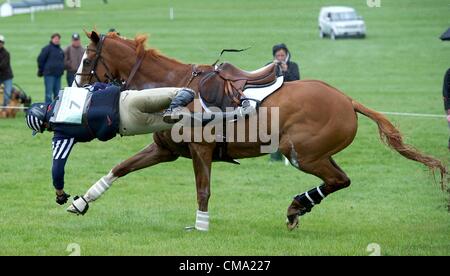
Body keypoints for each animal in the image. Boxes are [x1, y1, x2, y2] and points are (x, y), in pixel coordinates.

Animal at [77, 31, 446, 231]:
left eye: (87, 60)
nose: (78, 83)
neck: (174, 85)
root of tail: (347, 99)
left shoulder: (200, 151)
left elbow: (203, 191)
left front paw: (201, 226)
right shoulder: (165, 150)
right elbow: (120, 168)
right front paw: (82, 201)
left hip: (302, 153)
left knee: (338, 180)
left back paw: (297, 205)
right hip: (317, 153)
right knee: (340, 180)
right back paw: (298, 206)